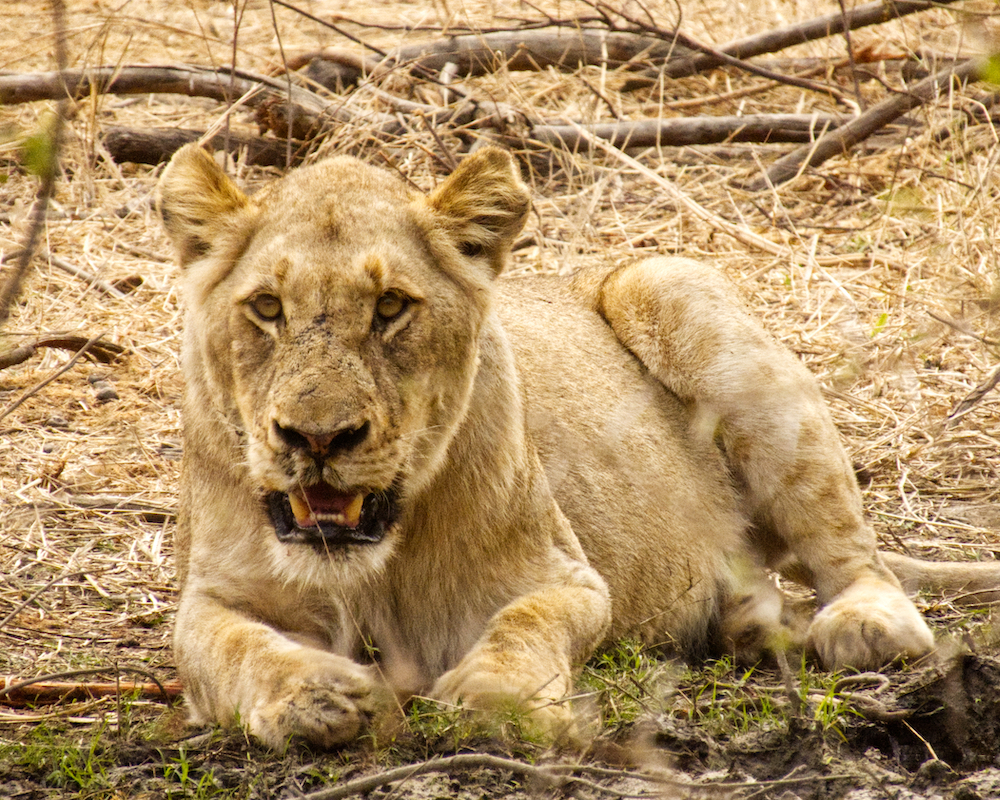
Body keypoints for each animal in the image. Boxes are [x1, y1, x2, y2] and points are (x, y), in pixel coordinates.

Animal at [156, 144, 1000, 752]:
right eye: (267, 307)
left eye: (392, 306)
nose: (318, 436)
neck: (373, 566)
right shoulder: (212, 598)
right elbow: (233, 647)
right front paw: (316, 695)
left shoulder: (566, 577)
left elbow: (525, 627)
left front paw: (493, 700)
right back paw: (749, 627)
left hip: (674, 287)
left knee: (857, 555)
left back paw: (857, 624)